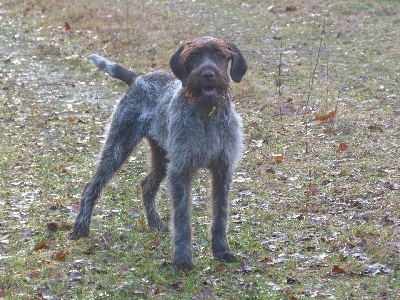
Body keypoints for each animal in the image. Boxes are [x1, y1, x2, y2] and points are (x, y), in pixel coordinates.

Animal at [70, 35, 248, 270]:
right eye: (194, 56)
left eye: (220, 55)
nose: (208, 74)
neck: (205, 114)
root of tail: (138, 79)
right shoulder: (180, 170)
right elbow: (182, 220)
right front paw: (182, 260)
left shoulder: (222, 169)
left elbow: (220, 216)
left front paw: (221, 251)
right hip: (118, 147)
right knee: (92, 186)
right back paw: (80, 228)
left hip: (162, 158)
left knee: (147, 185)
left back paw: (155, 224)